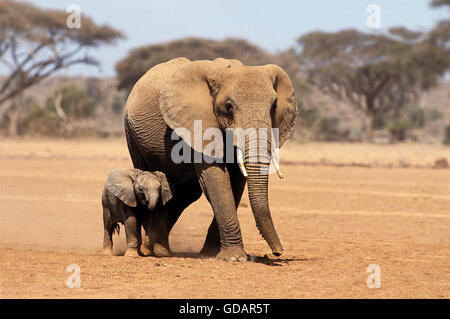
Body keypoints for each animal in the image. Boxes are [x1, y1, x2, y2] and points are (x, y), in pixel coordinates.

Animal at [125, 57, 298, 262]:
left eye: (273, 106)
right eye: (229, 106)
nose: (278, 252)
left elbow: (236, 183)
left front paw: (211, 254)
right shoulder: (199, 123)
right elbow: (216, 180)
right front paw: (234, 258)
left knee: (185, 193)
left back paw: (154, 248)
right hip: (132, 134)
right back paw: (149, 251)